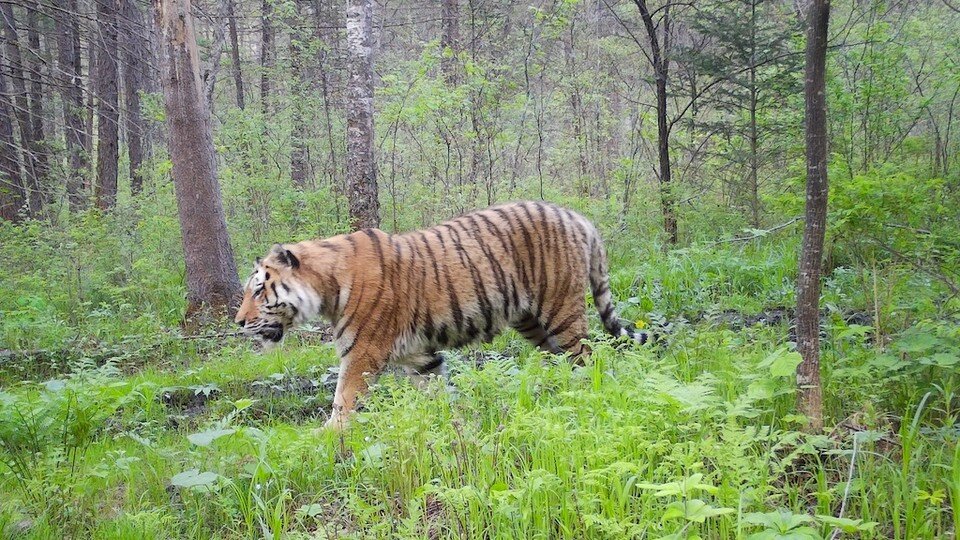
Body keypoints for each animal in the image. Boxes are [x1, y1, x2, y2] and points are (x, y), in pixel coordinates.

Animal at [235, 201, 650, 429]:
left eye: (258, 290)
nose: (238, 323)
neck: (326, 287)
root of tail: (577, 216)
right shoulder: (421, 357)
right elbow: (439, 394)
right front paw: (454, 424)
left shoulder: (362, 353)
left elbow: (344, 398)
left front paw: (326, 437)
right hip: (532, 322)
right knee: (564, 359)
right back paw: (555, 394)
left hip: (561, 310)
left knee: (589, 357)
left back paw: (583, 396)